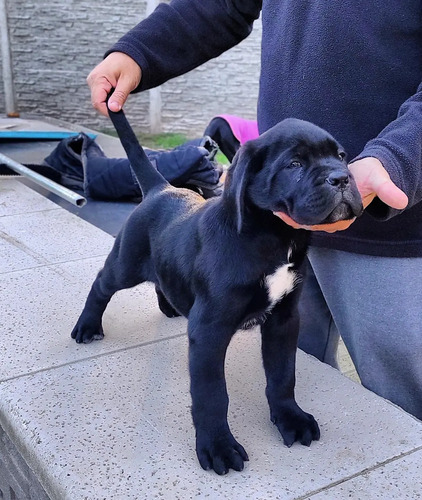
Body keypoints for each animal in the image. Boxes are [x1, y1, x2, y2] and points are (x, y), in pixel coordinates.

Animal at [72, 107, 362, 474]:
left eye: (341, 156)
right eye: (294, 164)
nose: (341, 178)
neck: (273, 237)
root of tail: (160, 189)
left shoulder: (284, 319)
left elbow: (283, 375)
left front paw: (290, 418)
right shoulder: (210, 329)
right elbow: (212, 393)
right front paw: (218, 446)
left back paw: (169, 307)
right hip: (126, 262)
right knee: (101, 284)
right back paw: (87, 326)